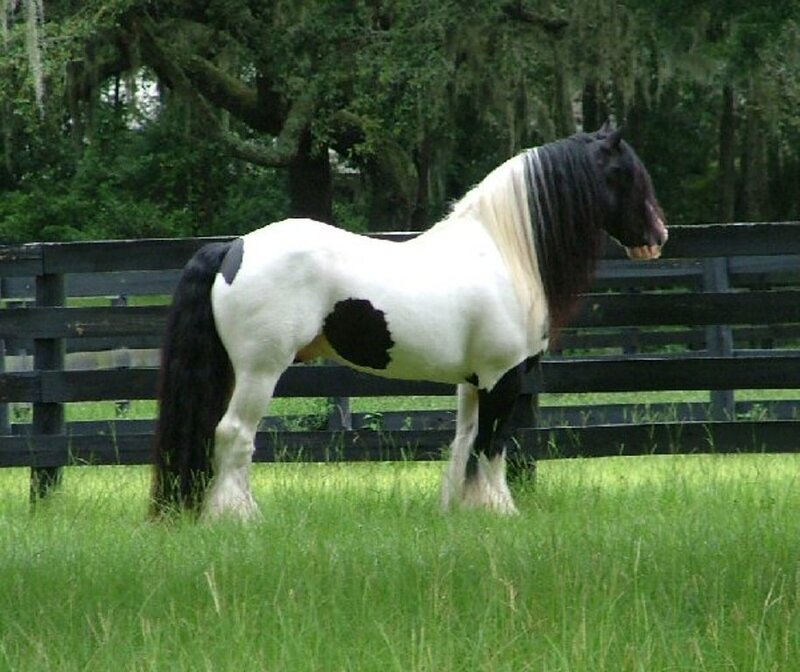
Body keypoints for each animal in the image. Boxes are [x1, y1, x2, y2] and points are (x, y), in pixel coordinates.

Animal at [150, 124, 667, 519]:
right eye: (622, 173)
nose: (658, 236)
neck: (503, 251)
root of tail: (234, 248)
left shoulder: (472, 382)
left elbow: (464, 441)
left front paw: (459, 510)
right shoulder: (502, 376)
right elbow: (493, 444)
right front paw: (500, 511)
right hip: (260, 370)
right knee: (234, 434)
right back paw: (239, 517)